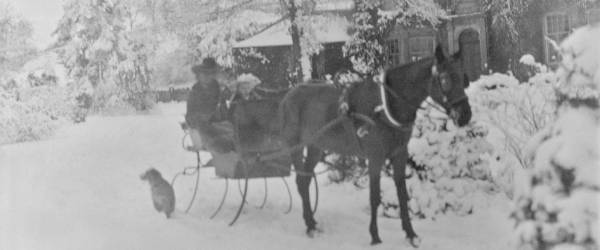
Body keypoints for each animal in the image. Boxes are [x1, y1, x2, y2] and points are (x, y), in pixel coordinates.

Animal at [278, 45, 472, 246]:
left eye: (463, 77)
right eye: (445, 79)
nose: (465, 115)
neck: (385, 107)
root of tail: (288, 96)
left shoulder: (400, 154)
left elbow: (402, 195)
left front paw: (411, 234)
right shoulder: (375, 158)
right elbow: (374, 197)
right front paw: (375, 235)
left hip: (316, 146)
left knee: (306, 180)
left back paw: (312, 222)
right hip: (296, 146)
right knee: (301, 182)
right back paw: (309, 225)